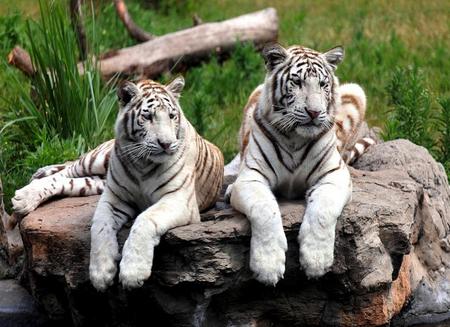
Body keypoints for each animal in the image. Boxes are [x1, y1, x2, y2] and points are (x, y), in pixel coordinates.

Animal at [229, 44, 372, 288]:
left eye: (323, 84)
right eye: (296, 82)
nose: (314, 112)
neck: (295, 138)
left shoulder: (334, 174)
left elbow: (323, 211)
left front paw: (316, 261)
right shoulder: (251, 176)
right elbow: (265, 210)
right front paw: (267, 266)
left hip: (356, 91)